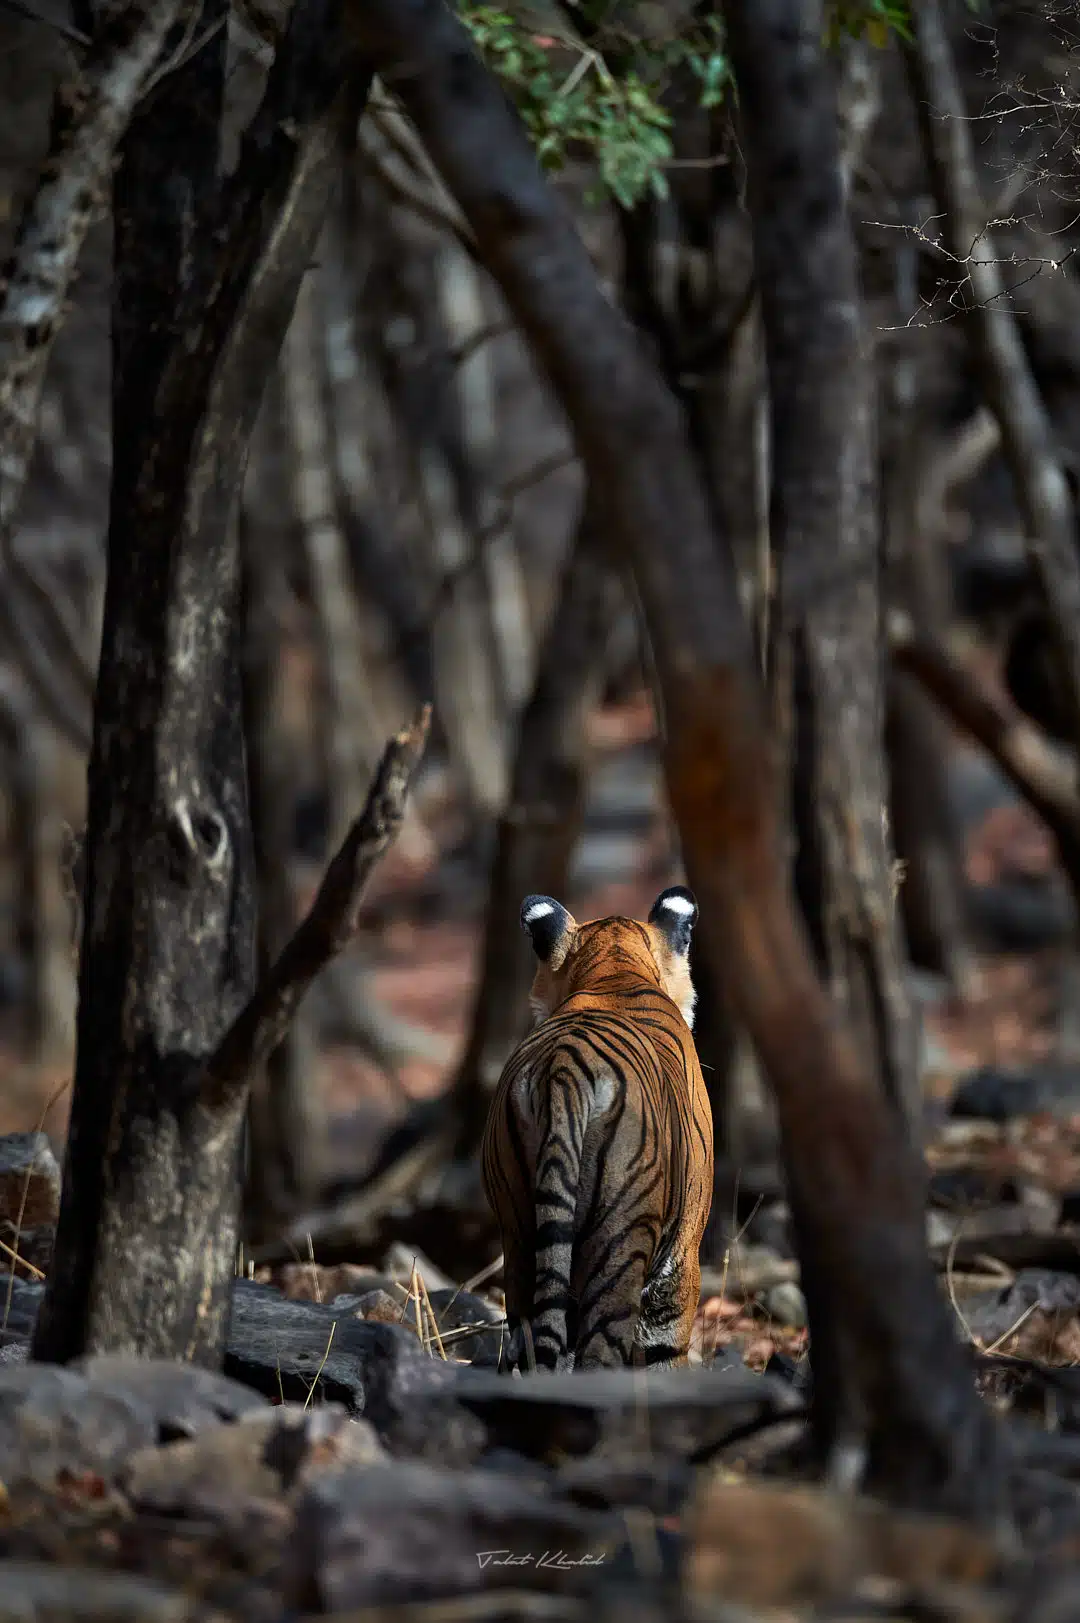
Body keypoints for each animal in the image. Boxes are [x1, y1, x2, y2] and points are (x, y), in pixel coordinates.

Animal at [481, 885, 714, 1372]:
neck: (614, 968)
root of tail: (563, 1071)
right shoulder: (682, 1257)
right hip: (619, 1241)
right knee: (600, 1352)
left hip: (520, 1235)